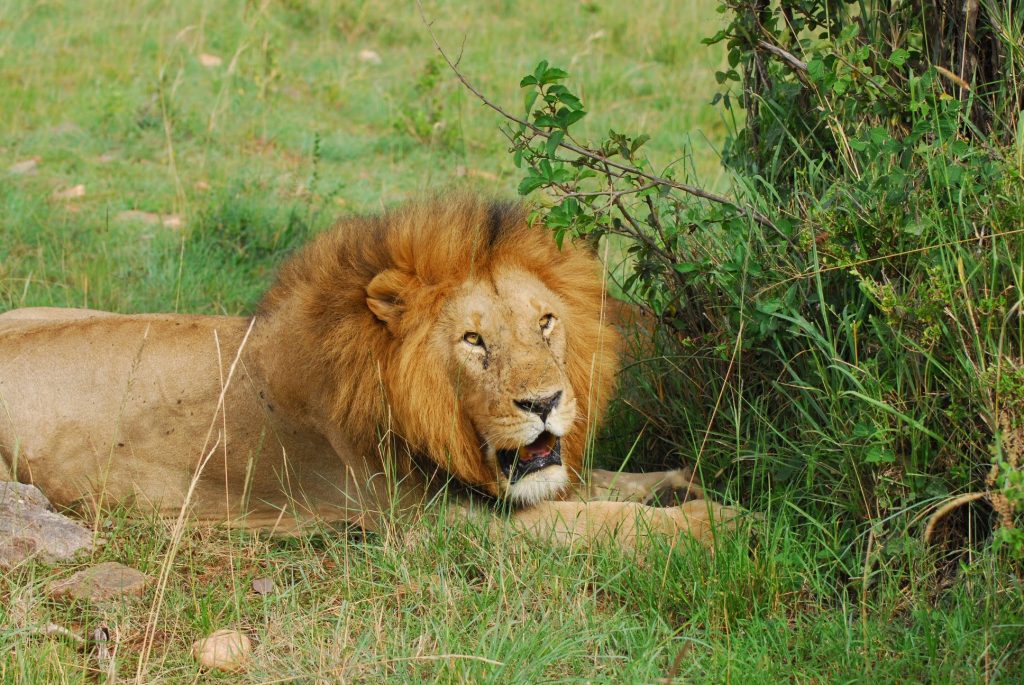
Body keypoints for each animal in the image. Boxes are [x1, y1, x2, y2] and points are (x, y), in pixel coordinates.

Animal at [0, 196, 741, 544]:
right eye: (474, 340)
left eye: (545, 323)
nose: (545, 402)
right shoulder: (430, 522)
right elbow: (602, 520)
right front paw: (721, 526)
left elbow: (605, 484)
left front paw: (684, 482)